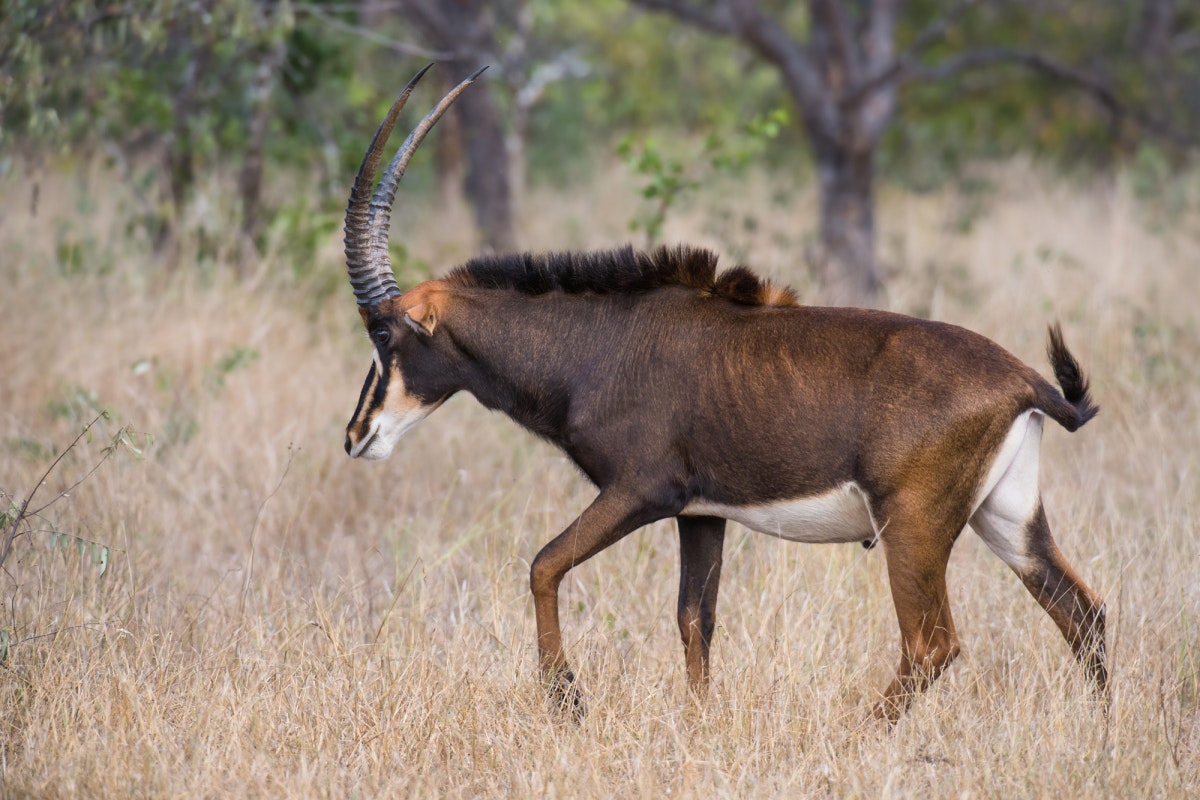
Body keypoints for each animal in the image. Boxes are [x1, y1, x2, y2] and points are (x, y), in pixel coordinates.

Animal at [342, 67, 1107, 724]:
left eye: (384, 334)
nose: (356, 436)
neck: (596, 343)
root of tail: (1023, 379)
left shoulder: (641, 492)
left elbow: (543, 565)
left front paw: (568, 702)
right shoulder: (703, 514)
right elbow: (694, 620)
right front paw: (697, 722)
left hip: (913, 526)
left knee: (933, 644)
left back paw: (855, 736)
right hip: (1007, 518)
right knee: (1083, 613)